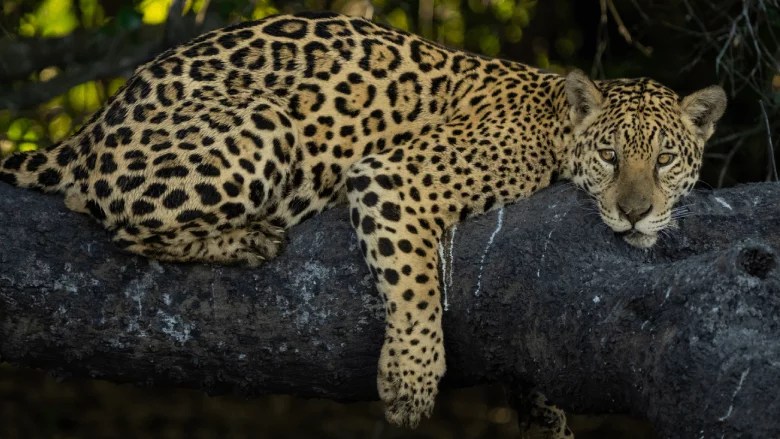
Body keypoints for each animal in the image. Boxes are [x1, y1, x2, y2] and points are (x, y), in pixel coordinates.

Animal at [0, 11, 726, 433]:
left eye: (664, 159)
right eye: (611, 156)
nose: (635, 212)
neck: (553, 125)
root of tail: (95, 123)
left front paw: (541, 408)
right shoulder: (393, 178)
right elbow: (415, 284)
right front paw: (410, 382)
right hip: (264, 125)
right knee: (112, 217)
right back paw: (253, 237)